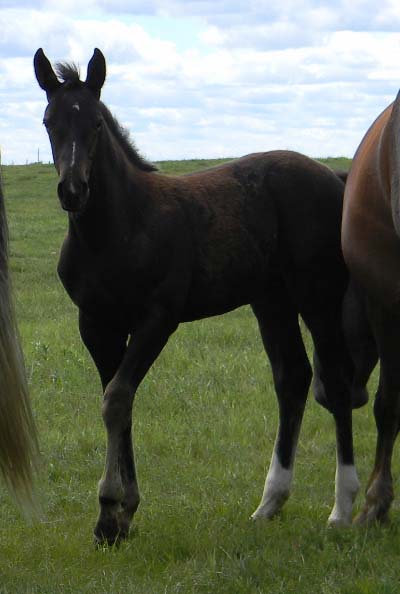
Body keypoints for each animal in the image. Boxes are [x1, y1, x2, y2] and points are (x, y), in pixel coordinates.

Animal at [34, 47, 366, 546]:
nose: (73, 190)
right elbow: (118, 402)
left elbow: (116, 399)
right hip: (272, 300)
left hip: (317, 295)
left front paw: (110, 510)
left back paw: (342, 509)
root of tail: (334, 176)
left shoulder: (158, 318)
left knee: (337, 383)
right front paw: (121, 515)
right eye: (48, 121)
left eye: (96, 123)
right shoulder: (95, 325)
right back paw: (269, 504)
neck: (120, 228)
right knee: (293, 378)